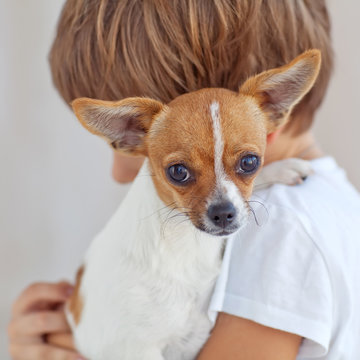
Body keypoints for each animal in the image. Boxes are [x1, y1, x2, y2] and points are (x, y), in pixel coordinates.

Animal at [66, 50, 320, 360]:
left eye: (250, 162)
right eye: (178, 171)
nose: (223, 213)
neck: (187, 246)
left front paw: (282, 168)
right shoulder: (134, 349)